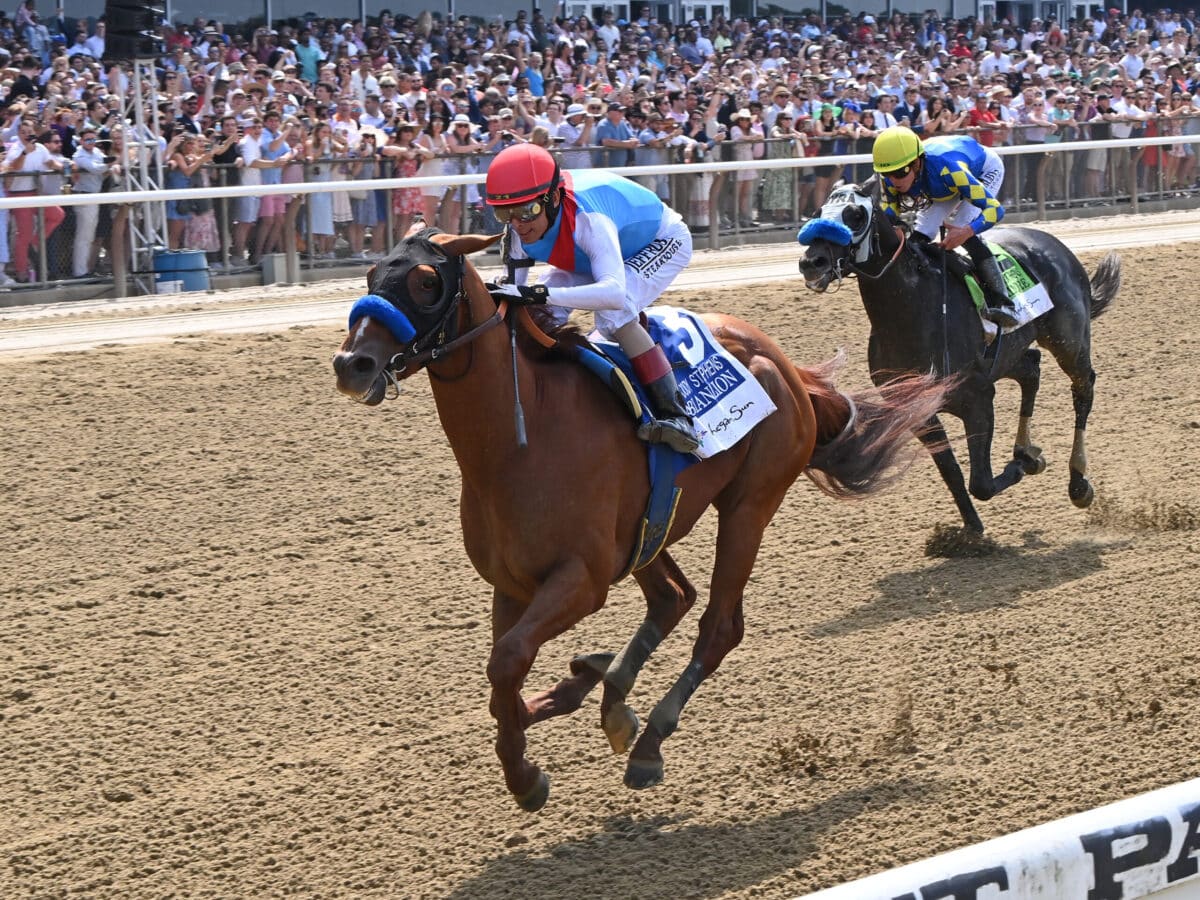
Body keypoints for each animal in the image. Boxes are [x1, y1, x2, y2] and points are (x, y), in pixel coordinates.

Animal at [331, 229, 945, 816]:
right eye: (371, 272)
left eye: (426, 281)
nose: (351, 364)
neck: (515, 443)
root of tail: (785, 365)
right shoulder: (513, 585)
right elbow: (501, 676)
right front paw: (561, 704)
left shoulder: (582, 581)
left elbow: (505, 663)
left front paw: (526, 777)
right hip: (651, 526)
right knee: (673, 595)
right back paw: (606, 696)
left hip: (749, 506)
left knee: (719, 626)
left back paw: (647, 741)